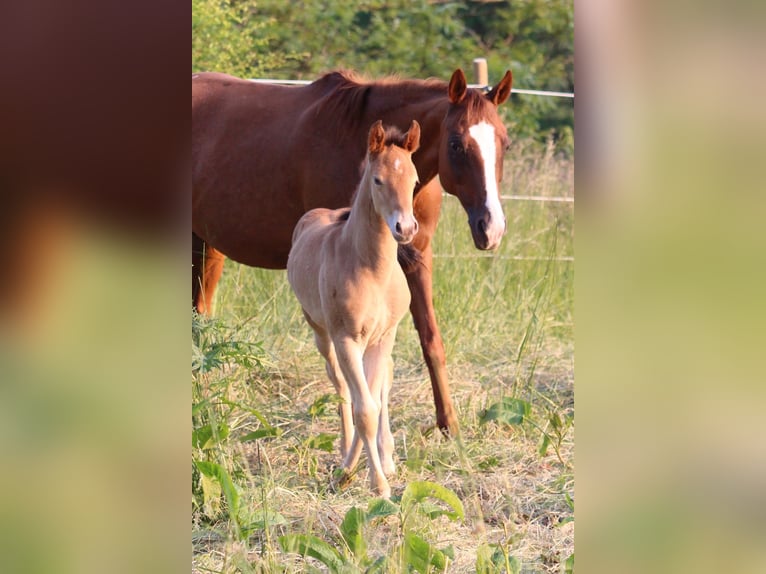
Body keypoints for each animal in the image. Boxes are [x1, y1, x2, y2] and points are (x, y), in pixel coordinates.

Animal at [192, 68, 516, 436]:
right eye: (456, 144)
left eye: (505, 143)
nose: (491, 227)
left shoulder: (418, 256)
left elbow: (431, 340)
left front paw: (449, 425)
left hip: (207, 246)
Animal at [288, 119, 424, 498]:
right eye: (377, 180)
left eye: (415, 180)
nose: (405, 228)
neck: (371, 269)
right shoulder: (347, 338)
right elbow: (364, 408)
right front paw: (366, 480)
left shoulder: (384, 337)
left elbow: (375, 401)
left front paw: (374, 469)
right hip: (321, 332)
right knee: (340, 385)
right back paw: (346, 449)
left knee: (379, 385)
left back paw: (385, 455)